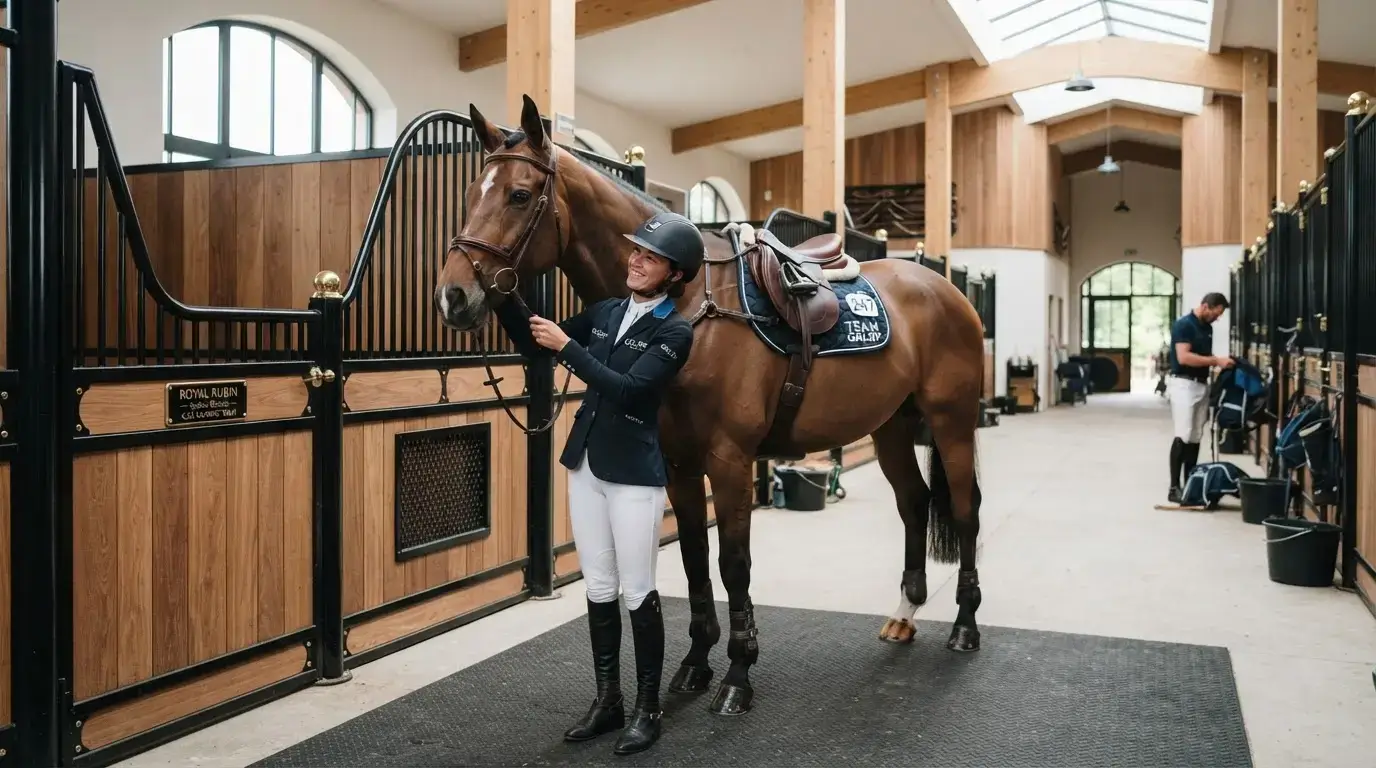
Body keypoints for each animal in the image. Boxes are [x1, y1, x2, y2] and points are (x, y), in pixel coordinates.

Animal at [436, 94, 987, 716]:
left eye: (520, 195)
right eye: (470, 192)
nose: (454, 296)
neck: (686, 307)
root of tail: (946, 290)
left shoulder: (729, 460)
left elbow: (733, 563)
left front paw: (738, 676)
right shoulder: (678, 464)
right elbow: (695, 558)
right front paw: (696, 664)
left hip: (951, 423)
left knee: (964, 510)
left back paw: (965, 626)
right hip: (892, 426)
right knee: (914, 504)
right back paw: (904, 615)